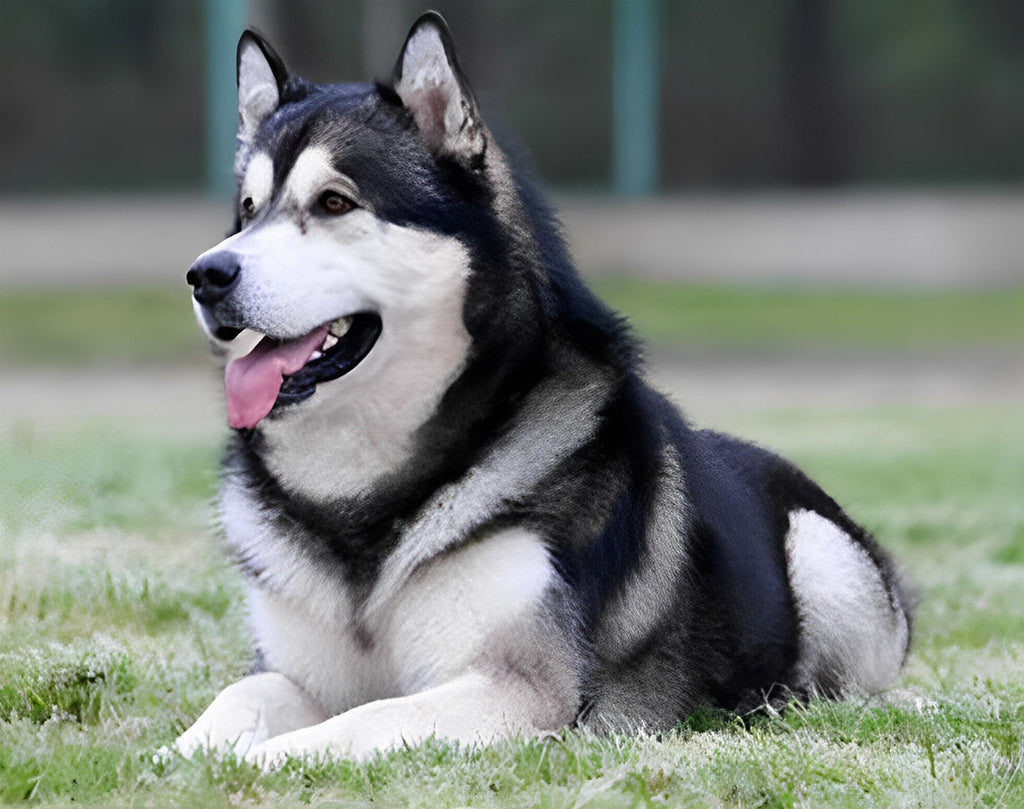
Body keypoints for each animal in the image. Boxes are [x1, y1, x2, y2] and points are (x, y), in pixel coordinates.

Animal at [178, 11, 913, 765]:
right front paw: (180, 755)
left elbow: (358, 719)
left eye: (333, 202)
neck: (364, 499)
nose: (206, 275)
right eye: (247, 211)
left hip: (822, 555)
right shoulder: (295, 672)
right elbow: (239, 698)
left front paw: (258, 761)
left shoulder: (517, 687)